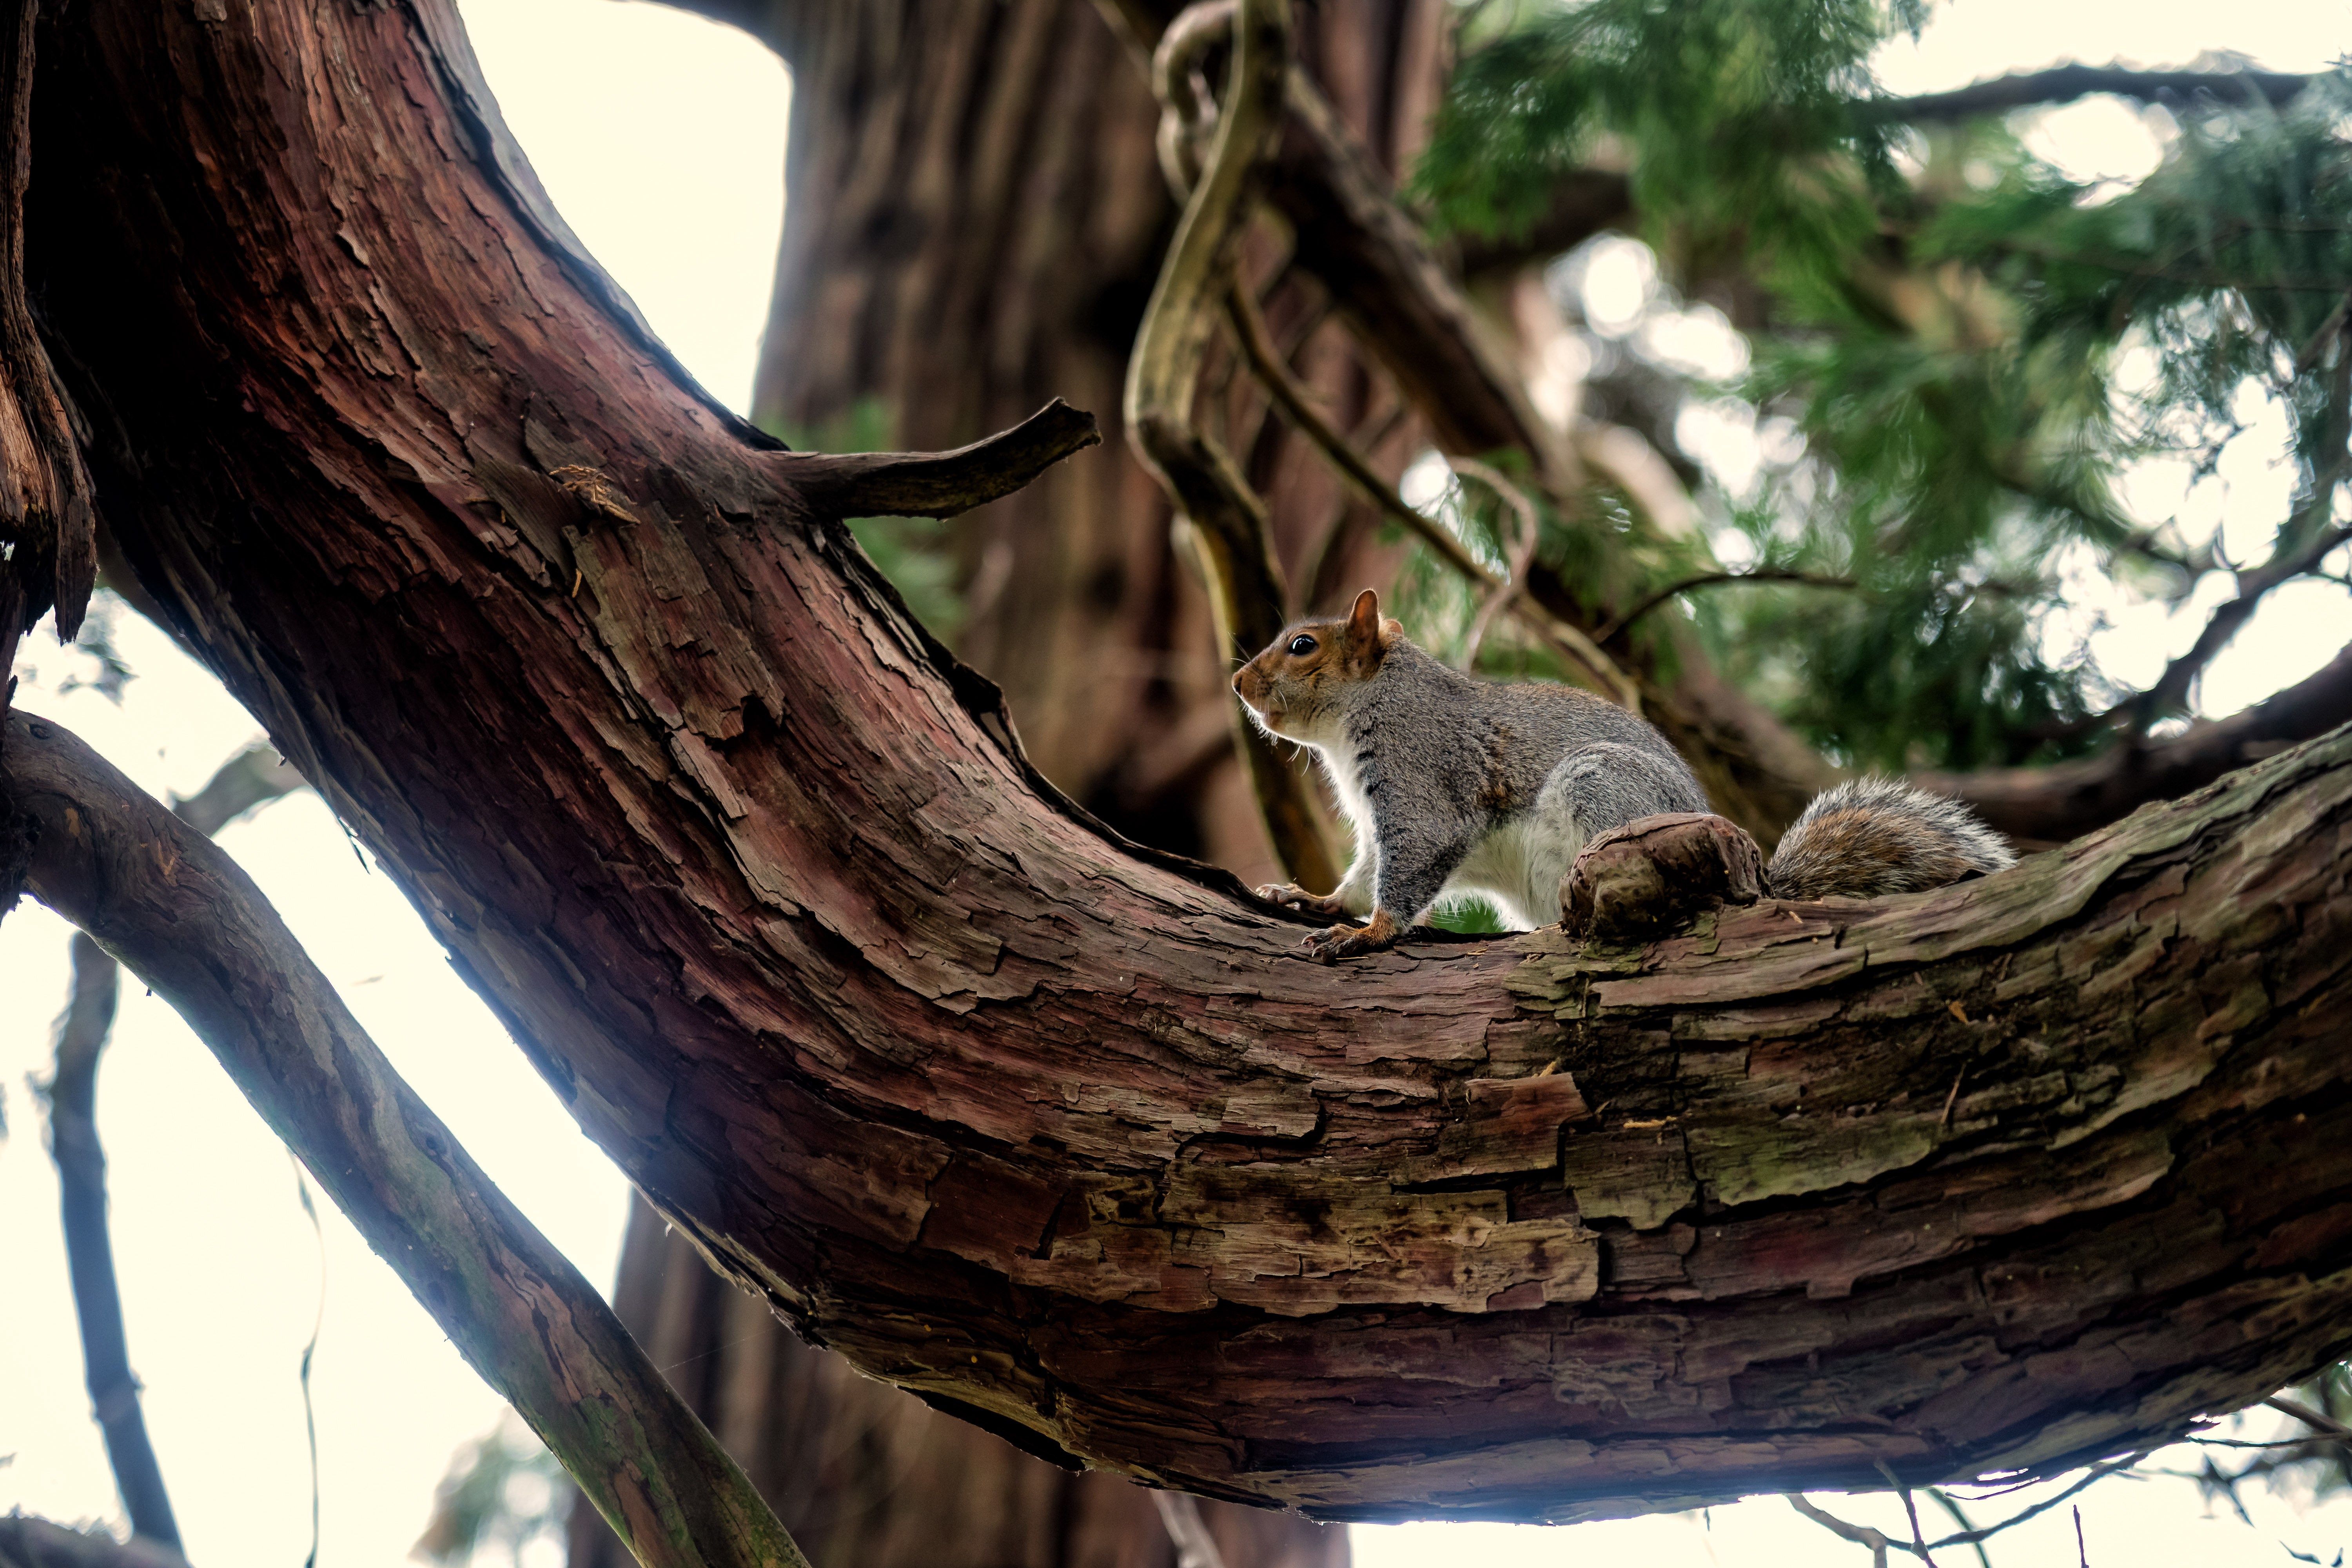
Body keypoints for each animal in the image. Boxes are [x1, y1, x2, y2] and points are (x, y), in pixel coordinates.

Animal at [1232, 585, 2023, 964]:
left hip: (1601, 791)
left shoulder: (1421, 776)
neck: (1363, 711)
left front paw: (1369, 934)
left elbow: (1413, 865)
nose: (1238, 683)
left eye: (1302, 646)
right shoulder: (1377, 821)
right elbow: (1364, 872)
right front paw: (1315, 900)